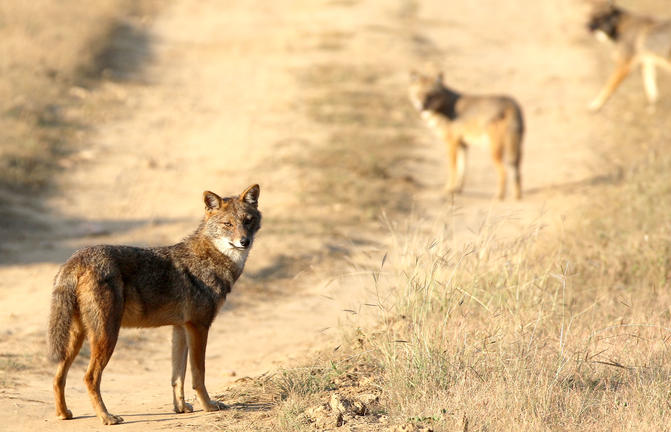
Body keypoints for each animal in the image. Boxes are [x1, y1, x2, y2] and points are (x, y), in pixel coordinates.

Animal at [47, 184, 261, 425]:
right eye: (228, 224)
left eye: (248, 221)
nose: (245, 241)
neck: (211, 258)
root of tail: (77, 258)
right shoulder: (199, 327)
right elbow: (199, 374)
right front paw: (209, 406)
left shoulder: (181, 328)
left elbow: (178, 376)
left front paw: (181, 408)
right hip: (107, 336)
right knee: (89, 377)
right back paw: (107, 417)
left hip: (77, 339)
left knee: (58, 378)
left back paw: (64, 414)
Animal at [409, 71, 524, 200]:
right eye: (419, 94)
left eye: (431, 95)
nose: (422, 106)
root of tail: (511, 104)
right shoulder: (463, 145)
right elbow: (462, 169)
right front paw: (457, 189)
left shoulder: (452, 143)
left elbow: (453, 168)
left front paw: (449, 189)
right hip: (516, 151)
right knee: (517, 172)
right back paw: (517, 196)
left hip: (495, 151)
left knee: (504, 172)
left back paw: (499, 196)